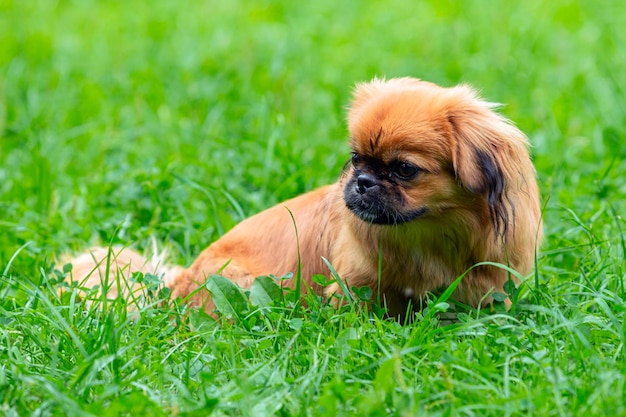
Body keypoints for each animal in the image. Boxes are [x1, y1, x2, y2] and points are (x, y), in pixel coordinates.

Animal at [64, 77, 540, 318]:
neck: (426, 236)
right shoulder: (352, 286)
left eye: (404, 170)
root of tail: (175, 285)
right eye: (356, 158)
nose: (362, 181)